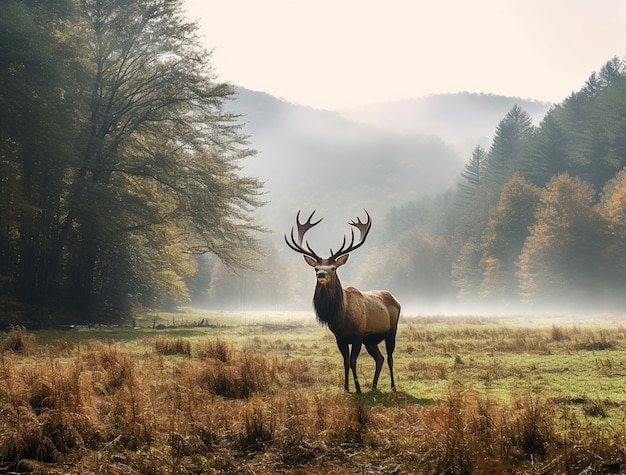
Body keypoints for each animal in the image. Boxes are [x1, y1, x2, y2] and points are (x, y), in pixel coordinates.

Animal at [284, 211, 400, 394]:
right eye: (316, 268)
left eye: (333, 268)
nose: (321, 274)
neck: (341, 316)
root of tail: (396, 300)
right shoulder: (340, 338)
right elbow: (345, 362)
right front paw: (346, 387)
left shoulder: (358, 335)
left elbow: (353, 361)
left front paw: (358, 388)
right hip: (371, 340)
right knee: (379, 358)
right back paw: (374, 386)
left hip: (391, 331)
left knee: (389, 357)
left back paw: (393, 386)